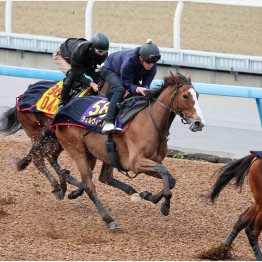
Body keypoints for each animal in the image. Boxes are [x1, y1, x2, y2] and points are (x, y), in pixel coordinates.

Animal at [52, 71, 205, 229]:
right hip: (78, 151)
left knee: (100, 178)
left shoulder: (150, 162)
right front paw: (165, 206)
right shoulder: (136, 163)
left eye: (197, 95)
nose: (199, 123)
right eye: (185, 96)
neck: (150, 123)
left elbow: (171, 179)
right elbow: (163, 170)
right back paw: (109, 219)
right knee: (89, 184)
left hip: (98, 153)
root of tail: (63, 109)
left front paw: (149, 196)